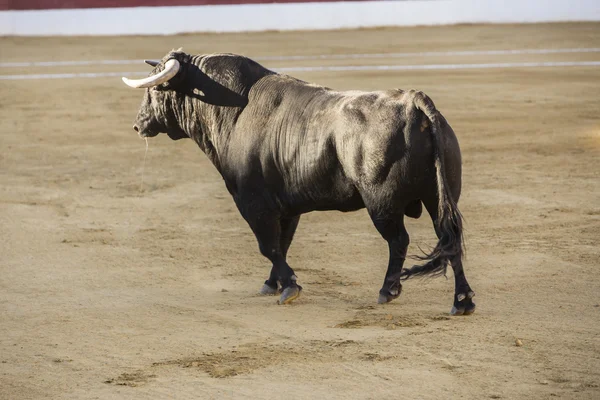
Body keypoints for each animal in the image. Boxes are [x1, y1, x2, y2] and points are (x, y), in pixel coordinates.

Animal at [124, 50, 476, 314]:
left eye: (154, 90)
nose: (138, 124)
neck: (234, 113)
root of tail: (412, 103)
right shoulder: (287, 206)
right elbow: (283, 242)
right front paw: (272, 284)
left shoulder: (251, 201)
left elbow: (268, 245)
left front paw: (290, 286)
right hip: (438, 196)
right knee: (448, 235)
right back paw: (462, 301)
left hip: (381, 203)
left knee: (399, 240)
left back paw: (388, 290)